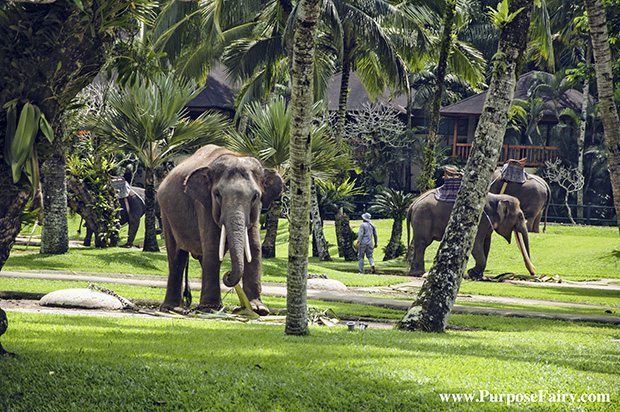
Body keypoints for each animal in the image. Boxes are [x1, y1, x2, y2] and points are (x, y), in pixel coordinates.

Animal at [157, 145, 284, 316]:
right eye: (217, 194)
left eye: (255, 196)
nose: (228, 274)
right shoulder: (204, 204)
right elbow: (212, 246)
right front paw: (209, 308)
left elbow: (254, 248)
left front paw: (259, 309)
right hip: (165, 213)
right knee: (177, 256)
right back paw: (172, 308)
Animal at [406, 192, 536, 278]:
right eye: (520, 216)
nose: (533, 273)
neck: (498, 197)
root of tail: (413, 204)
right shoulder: (480, 219)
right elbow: (476, 244)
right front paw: (472, 273)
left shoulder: (487, 223)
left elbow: (486, 244)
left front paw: (477, 275)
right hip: (423, 217)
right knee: (422, 243)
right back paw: (419, 273)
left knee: (416, 243)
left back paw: (415, 273)